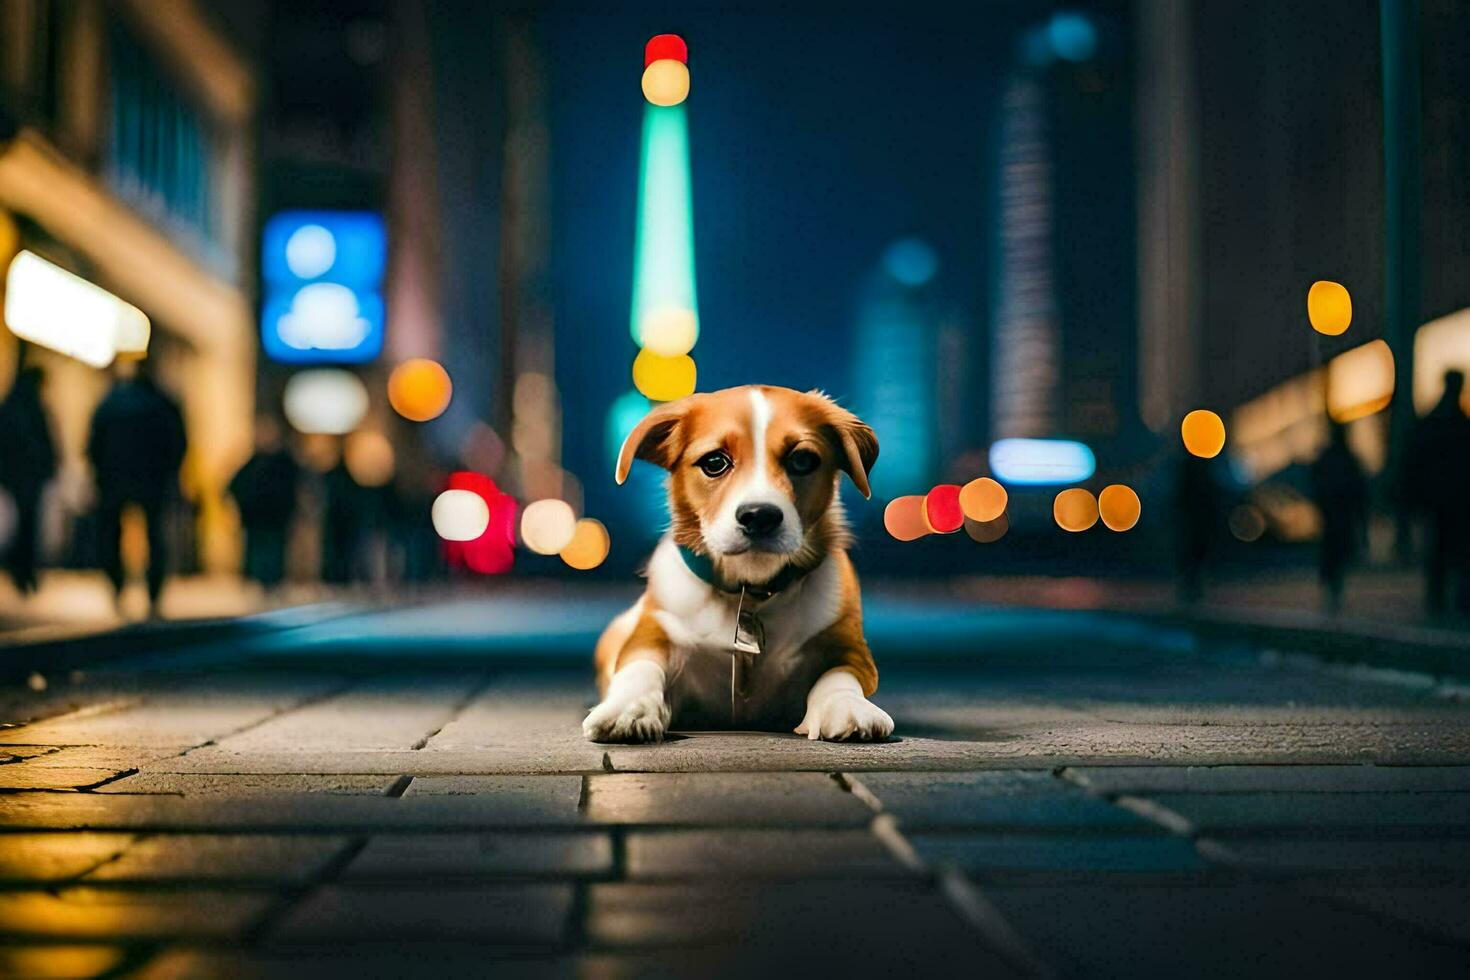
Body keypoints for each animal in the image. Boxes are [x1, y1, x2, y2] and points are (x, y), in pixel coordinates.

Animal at [585, 382, 893, 743]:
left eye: (803, 460)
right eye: (715, 462)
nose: (760, 516)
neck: (750, 591)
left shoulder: (849, 646)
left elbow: (839, 675)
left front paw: (846, 705)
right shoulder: (653, 632)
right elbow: (640, 666)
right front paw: (628, 709)